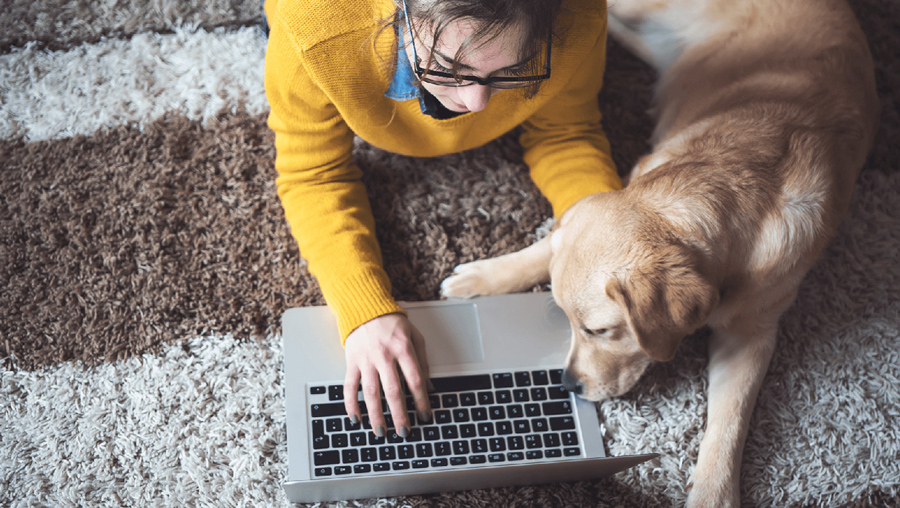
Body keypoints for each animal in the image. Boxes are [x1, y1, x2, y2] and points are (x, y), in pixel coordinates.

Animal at [442, 1, 880, 506]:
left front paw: (713, 492)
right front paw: (482, 277)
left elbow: (729, 422)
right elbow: (548, 242)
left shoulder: (751, 333)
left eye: (598, 330)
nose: (568, 385)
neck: (719, 191)